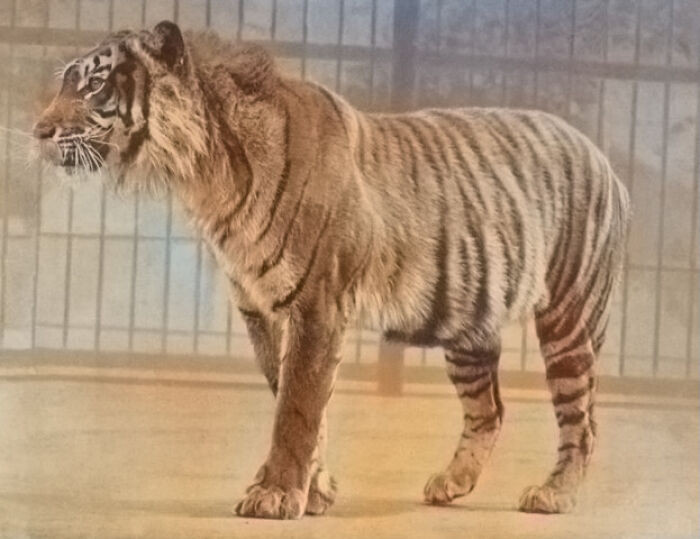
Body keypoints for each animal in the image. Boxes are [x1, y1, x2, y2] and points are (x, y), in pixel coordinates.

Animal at [33, 21, 630, 519]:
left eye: (94, 86)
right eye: (66, 83)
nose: (37, 131)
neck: (205, 174)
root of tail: (603, 157)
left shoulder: (317, 305)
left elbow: (296, 409)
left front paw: (275, 495)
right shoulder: (262, 310)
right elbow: (297, 402)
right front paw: (315, 492)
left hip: (569, 319)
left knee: (584, 419)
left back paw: (554, 494)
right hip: (469, 327)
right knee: (490, 410)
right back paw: (451, 484)